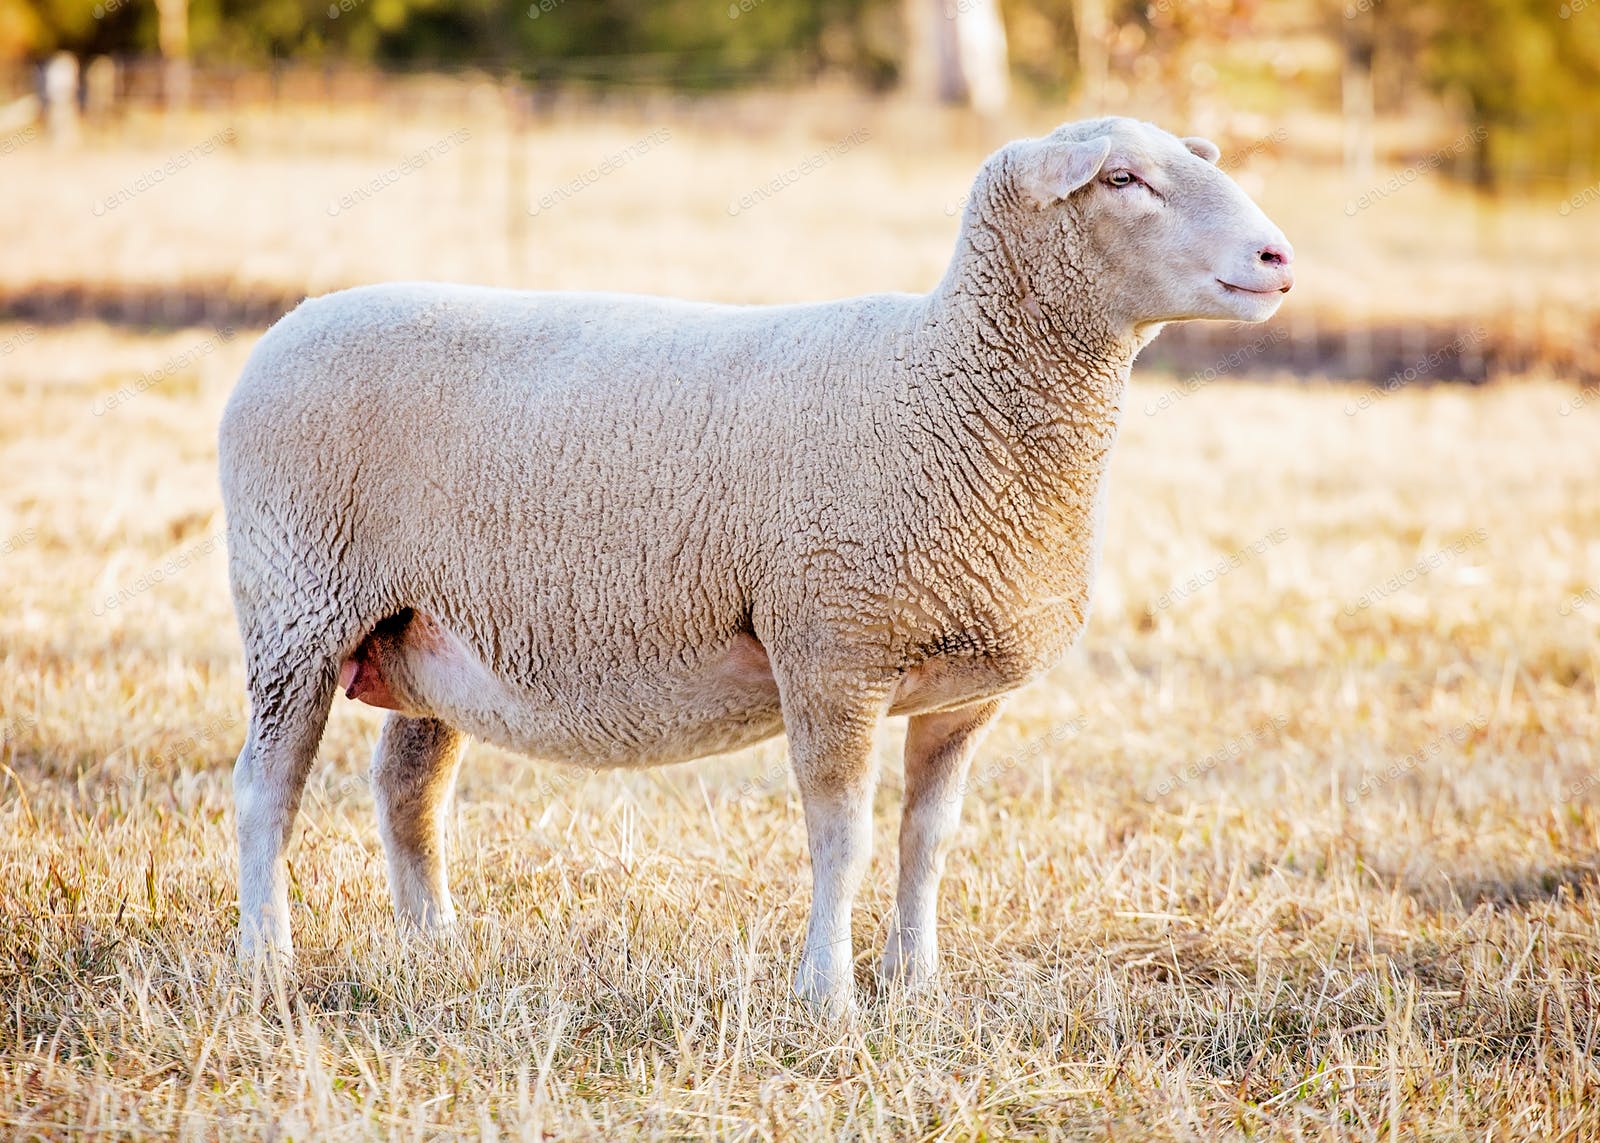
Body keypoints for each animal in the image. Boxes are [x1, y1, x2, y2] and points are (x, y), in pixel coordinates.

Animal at [219, 113, 1292, 1005]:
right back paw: (268, 960)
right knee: (266, 791)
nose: (1279, 257)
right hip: (296, 606)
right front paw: (828, 995)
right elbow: (844, 838)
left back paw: (435, 949)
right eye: (1122, 178)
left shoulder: (963, 691)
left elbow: (928, 840)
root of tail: (290, 322)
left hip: (427, 632)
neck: (947, 380)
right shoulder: (832, 650)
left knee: (408, 789)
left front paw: (915, 982)